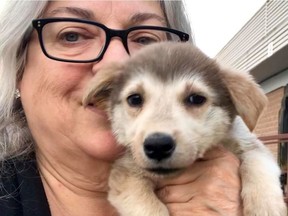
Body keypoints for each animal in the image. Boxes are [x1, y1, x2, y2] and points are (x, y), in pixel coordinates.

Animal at [82, 41, 286, 215]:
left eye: (196, 98)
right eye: (135, 99)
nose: (158, 145)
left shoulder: (249, 142)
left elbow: (257, 162)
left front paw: (266, 206)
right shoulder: (126, 172)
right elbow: (148, 207)